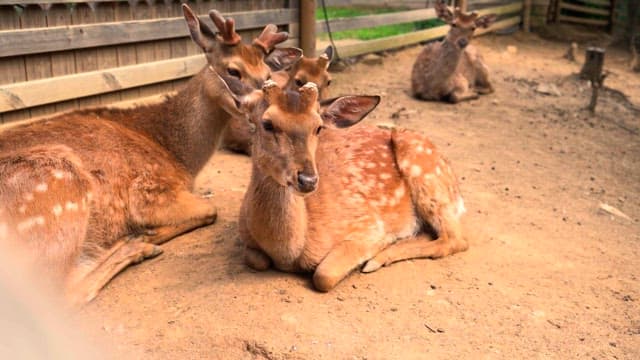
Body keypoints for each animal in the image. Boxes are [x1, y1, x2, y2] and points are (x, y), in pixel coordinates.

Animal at [0, 4, 300, 306]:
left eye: (267, 75)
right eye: (233, 70)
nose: (272, 115)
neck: (177, 154)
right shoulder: (148, 191)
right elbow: (210, 210)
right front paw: (149, 232)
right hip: (59, 185)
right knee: (60, 293)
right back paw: (135, 245)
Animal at [224, 80, 464, 292]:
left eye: (318, 127)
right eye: (267, 124)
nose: (308, 180)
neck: (288, 252)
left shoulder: (366, 225)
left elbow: (323, 275)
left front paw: (382, 243)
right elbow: (256, 259)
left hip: (425, 169)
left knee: (456, 238)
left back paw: (379, 256)